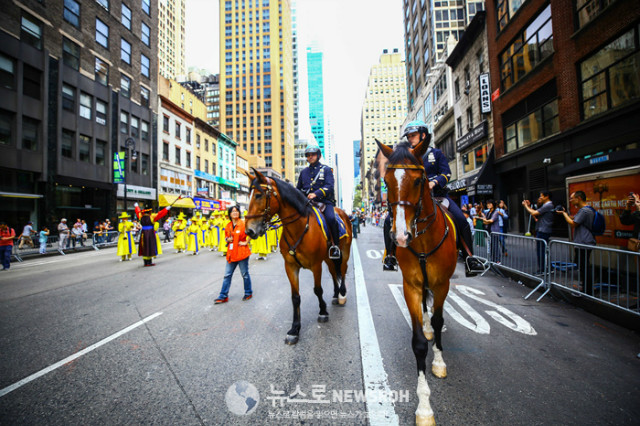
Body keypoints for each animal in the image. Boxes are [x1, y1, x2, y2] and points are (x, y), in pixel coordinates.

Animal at [245, 168, 356, 344]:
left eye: (258, 195)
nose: (249, 230)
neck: (298, 228)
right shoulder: (290, 266)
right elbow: (295, 297)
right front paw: (295, 329)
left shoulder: (316, 265)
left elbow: (317, 290)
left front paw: (323, 311)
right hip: (328, 257)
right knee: (334, 272)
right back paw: (335, 294)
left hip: (344, 251)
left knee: (343, 270)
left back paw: (342, 295)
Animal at [378, 140, 458, 426]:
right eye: (386, 181)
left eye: (418, 180)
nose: (401, 236)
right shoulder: (410, 285)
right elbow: (419, 343)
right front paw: (424, 407)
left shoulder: (442, 283)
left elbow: (439, 318)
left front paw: (439, 363)